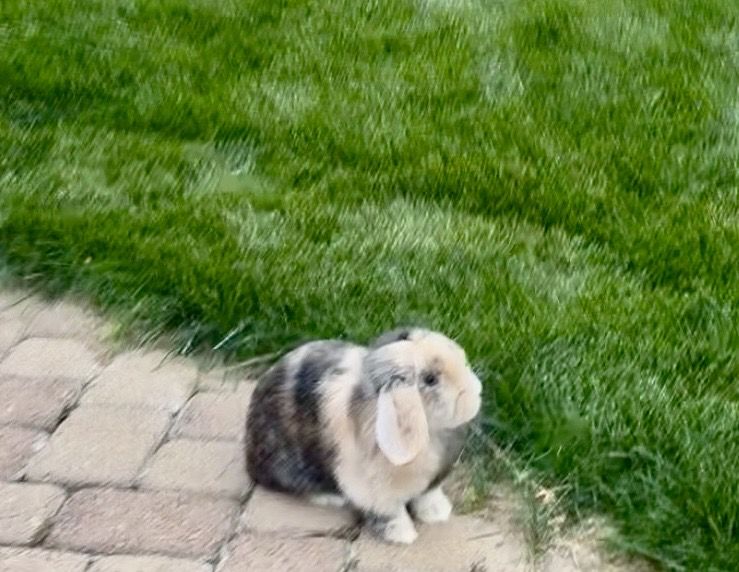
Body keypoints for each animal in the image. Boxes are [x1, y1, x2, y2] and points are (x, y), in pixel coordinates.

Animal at [245, 327, 483, 544]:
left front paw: (438, 514)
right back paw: (331, 498)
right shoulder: (376, 493)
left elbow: (427, 496)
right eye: (430, 379)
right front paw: (403, 536)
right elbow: (390, 514)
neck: (432, 435)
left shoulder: (430, 483)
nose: (474, 392)